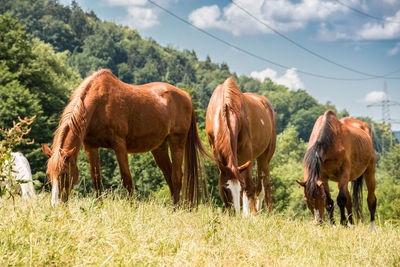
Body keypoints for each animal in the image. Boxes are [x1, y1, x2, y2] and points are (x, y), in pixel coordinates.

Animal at [42, 69, 208, 207]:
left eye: (65, 174)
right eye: (49, 174)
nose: (55, 205)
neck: (99, 104)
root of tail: (186, 96)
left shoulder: (119, 145)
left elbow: (126, 178)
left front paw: (133, 208)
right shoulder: (90, 146)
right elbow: (96, 178)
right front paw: (98, 207)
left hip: (177, 142)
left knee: (177, 177)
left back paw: (176, 210)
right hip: (159, 148)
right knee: (169, 176)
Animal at [205, 77, 276, 216]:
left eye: (239, 188)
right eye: (225, 189)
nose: (234, 213)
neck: (226, 107)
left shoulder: (245, 151)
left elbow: (248, 185)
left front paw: (253, 214)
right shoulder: (216, 150)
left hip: (264, 157)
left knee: (264, 185)